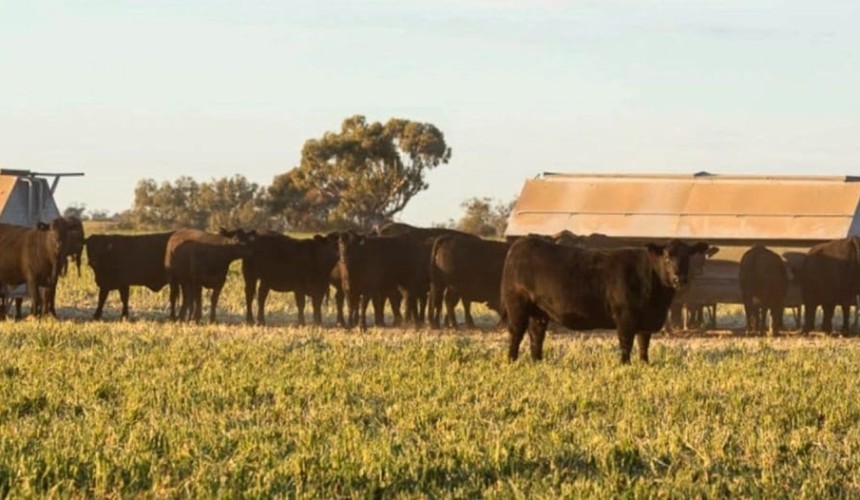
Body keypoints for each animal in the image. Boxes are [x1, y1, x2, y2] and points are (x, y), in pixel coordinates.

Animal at [500, 237, 711, 364]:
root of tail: (521, 243)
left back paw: (537, 361)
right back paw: (512, 360)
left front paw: (645, 363)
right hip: (517, 305)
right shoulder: (625, 316)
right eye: (667, 258)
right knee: (516, 333)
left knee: (536, 335)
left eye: (688, 258)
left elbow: (644, 344)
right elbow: (626, 343)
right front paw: (625, 364)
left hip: (539, 312)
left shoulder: (646, 321)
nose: (679, 279)